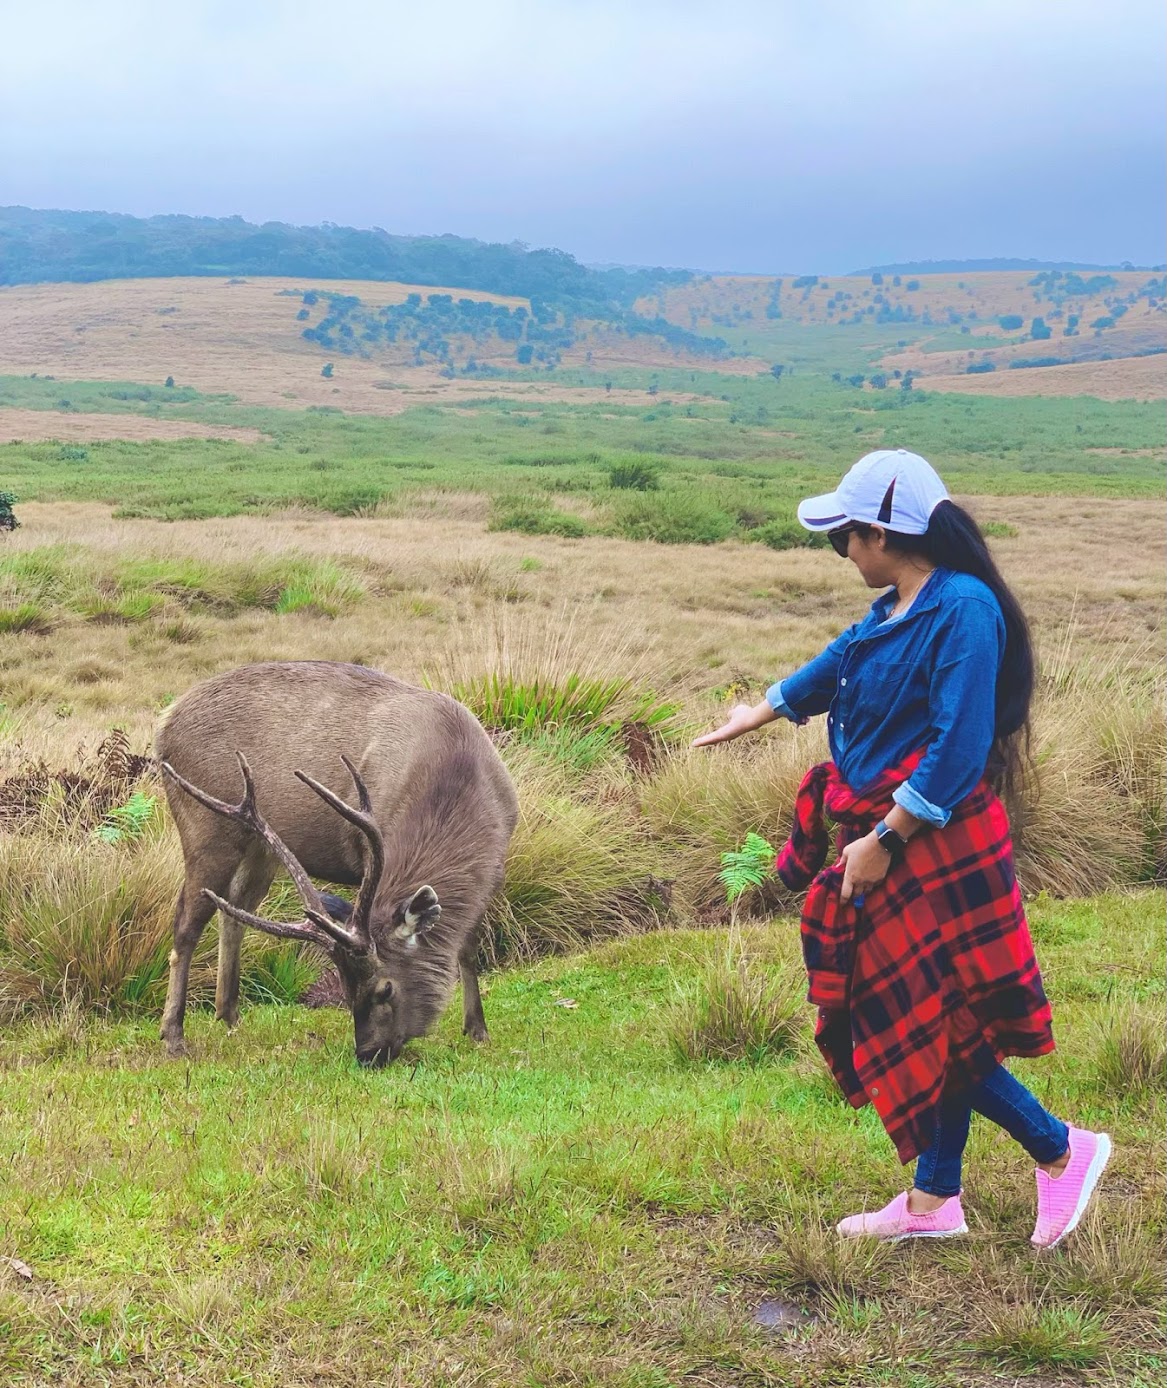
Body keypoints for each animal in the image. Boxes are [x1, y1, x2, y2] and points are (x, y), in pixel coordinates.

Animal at [153, 660, 513, 1060]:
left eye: (384, 989)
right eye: (346, 985)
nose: (368, 1053)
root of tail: (164, 723)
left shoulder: (496, 865)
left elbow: (467, 944)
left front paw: (477, 1029)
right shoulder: (370, 849)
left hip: (260, 846)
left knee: (235, 911)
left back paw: (229, 1015)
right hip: (204, 827)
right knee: (186, 923)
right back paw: (173, 1035)